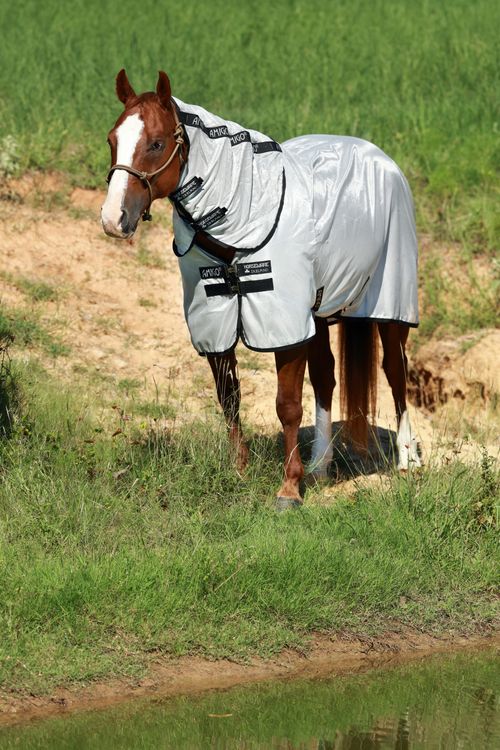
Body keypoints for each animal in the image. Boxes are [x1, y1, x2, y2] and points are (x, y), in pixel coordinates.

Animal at [101, 70, 421, 510]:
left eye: (156, 143)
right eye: (112, 140)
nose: (113, 219)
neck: (243, 216)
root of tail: (382, 159)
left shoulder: (283, 326)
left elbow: (287, 406)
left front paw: (289, 489)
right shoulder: (215, 322)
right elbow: (230, 399)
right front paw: (240, 470)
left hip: (391, 306)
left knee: (395, 374)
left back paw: (408, 461)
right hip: (318, 314)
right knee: (327, 379)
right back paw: (320, 466)